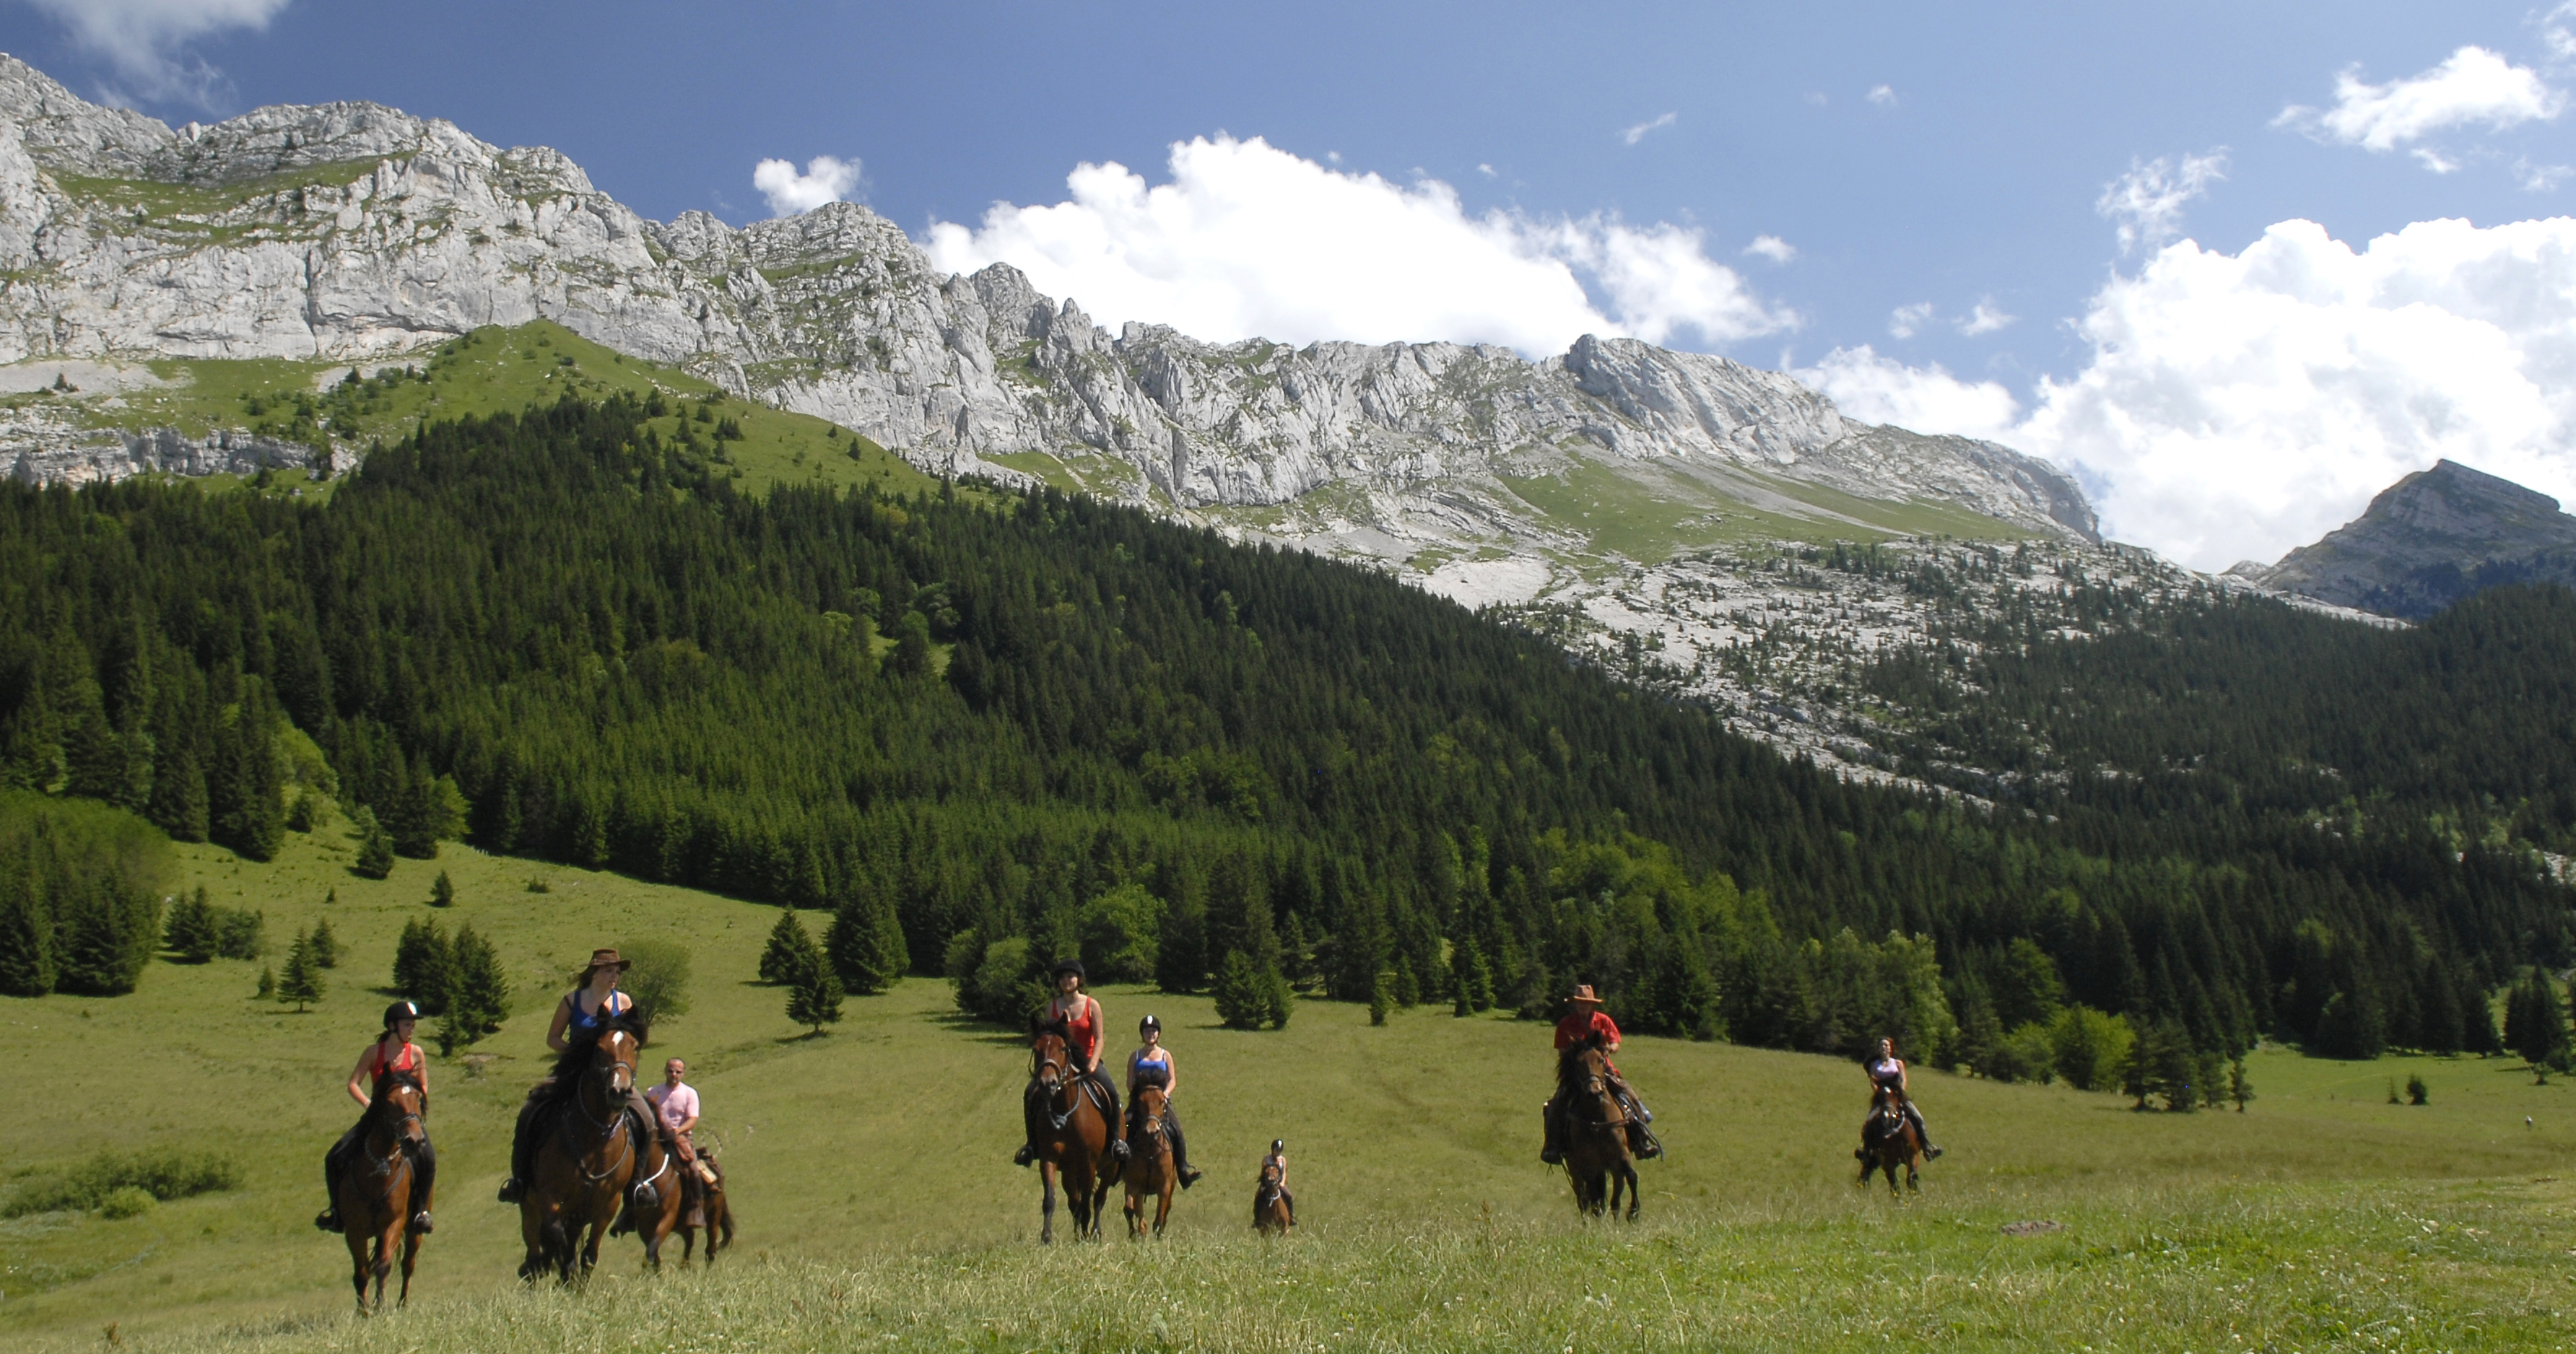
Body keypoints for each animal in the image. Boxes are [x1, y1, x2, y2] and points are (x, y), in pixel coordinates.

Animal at [337, 1070, 427, 1318]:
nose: (414, 1140)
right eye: (390, 1102)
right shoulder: (355, 1230)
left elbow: (384, 1265)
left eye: (418, 1098)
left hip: (415, 1230)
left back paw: (402, 1303)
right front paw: (363, 1311)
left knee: (408, 1264)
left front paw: (380, 1306)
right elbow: (361, 1272)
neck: (379, 1169)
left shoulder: (394, 1223)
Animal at [510, 1029, 669, 1287]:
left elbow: (589, 1253)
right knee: (535, 1250)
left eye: (634, 1047)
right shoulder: (549, 1196)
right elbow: (556, 1237)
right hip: (531, 1206)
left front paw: (577, 1283)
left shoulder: (608, 1203)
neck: (595, 1137)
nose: (619, 1091)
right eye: (598, 1049)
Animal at [1025, 1024, 1118, 1246]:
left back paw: (1094, 1232)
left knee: (1099, 1198)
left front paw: (1085, 1237)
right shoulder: (1049, 1159)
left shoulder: (1089, 1164)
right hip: (1069, 1172)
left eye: (1063, 1049)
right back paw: (1079, 1233)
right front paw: (1046, 1238)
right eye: (1037, 1049)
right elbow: (1050, 1200)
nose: (1048, 1083)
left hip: (1110, 1167)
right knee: (1074, 1202)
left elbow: (1088, 1202)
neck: (1065, 1112)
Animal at [1556, 1045, 1638, 1225]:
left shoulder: (1621, 1157)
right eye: (1578, 1063)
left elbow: (1631, 1177)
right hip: (1575, 1168)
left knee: (1612, 1199)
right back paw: (1587, 1224)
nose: (1595, 1092)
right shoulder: (1587, 1162)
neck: (1597, 1120)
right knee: (1584, 1199)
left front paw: (1634, 1213)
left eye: (1601, 1060)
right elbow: (1593, 1197)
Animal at [1865, 1086, 1926, 1194]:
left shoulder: (1913, 1156)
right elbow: (1894, 1185)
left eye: (1896, 1096)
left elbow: (1911, 1178)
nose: (1887, 1115)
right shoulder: (1887, 1163)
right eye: (1880, 1097)